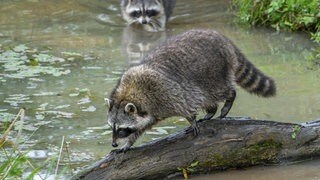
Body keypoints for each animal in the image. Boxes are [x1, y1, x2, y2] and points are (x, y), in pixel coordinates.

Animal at [104, 29, 276, 152]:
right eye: (112, 127)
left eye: (122, 129)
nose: (113, 144)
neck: (129, 94)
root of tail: (221, 37)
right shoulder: (149, 111)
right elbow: (142, 127)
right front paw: (129, 142)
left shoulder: (165, 90)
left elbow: (185, 103)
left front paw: (191, 119)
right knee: (207, 98)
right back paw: (211, 111)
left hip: (214, 72)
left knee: (220, 91)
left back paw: (228, 99)